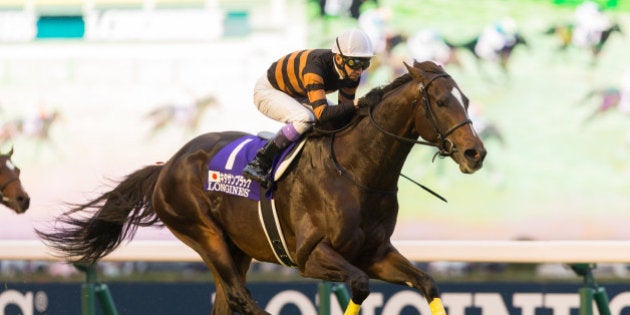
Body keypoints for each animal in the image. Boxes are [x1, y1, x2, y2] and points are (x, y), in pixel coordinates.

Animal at [37, 61, 488, 315]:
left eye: (466, 98)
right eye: (443, 102)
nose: (475, 153)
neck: (357, 171)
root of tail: (169, 164)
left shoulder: (375, 254)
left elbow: (427, 284)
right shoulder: (311, 255)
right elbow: (358, 286)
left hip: (236, 250)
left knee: (227, 300)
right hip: (202, 232)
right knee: (240, 299)